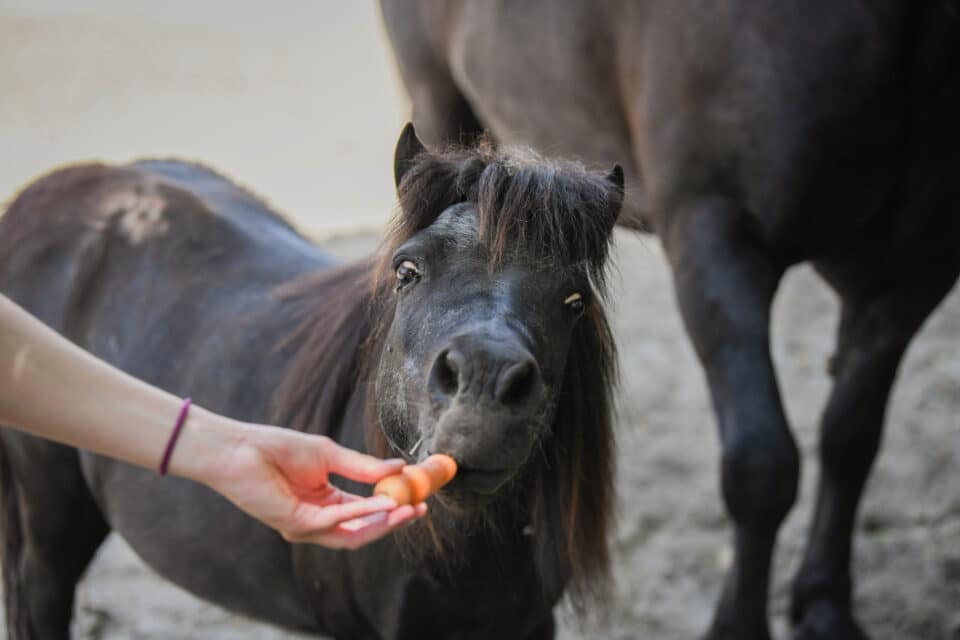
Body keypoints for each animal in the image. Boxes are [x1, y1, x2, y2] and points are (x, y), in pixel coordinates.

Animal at [380, 2, 960, 639]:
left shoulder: (911, 274)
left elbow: (850, 442)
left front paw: (826, 603)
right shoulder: (715, 238)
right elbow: (762, 467)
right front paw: (738, 626)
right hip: (438, 100)